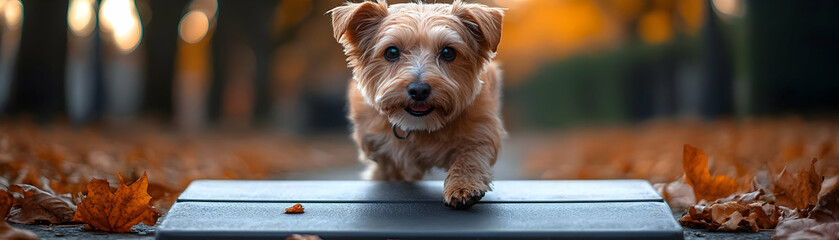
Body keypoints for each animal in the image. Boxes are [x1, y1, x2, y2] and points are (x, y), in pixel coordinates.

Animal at [330, 0, 506, 208]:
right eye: (391, 52)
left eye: (448, 52)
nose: (419, 90)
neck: (421, 127)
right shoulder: (383, 155)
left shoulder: (481, 129)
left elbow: (470, 156)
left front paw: (463, 185)